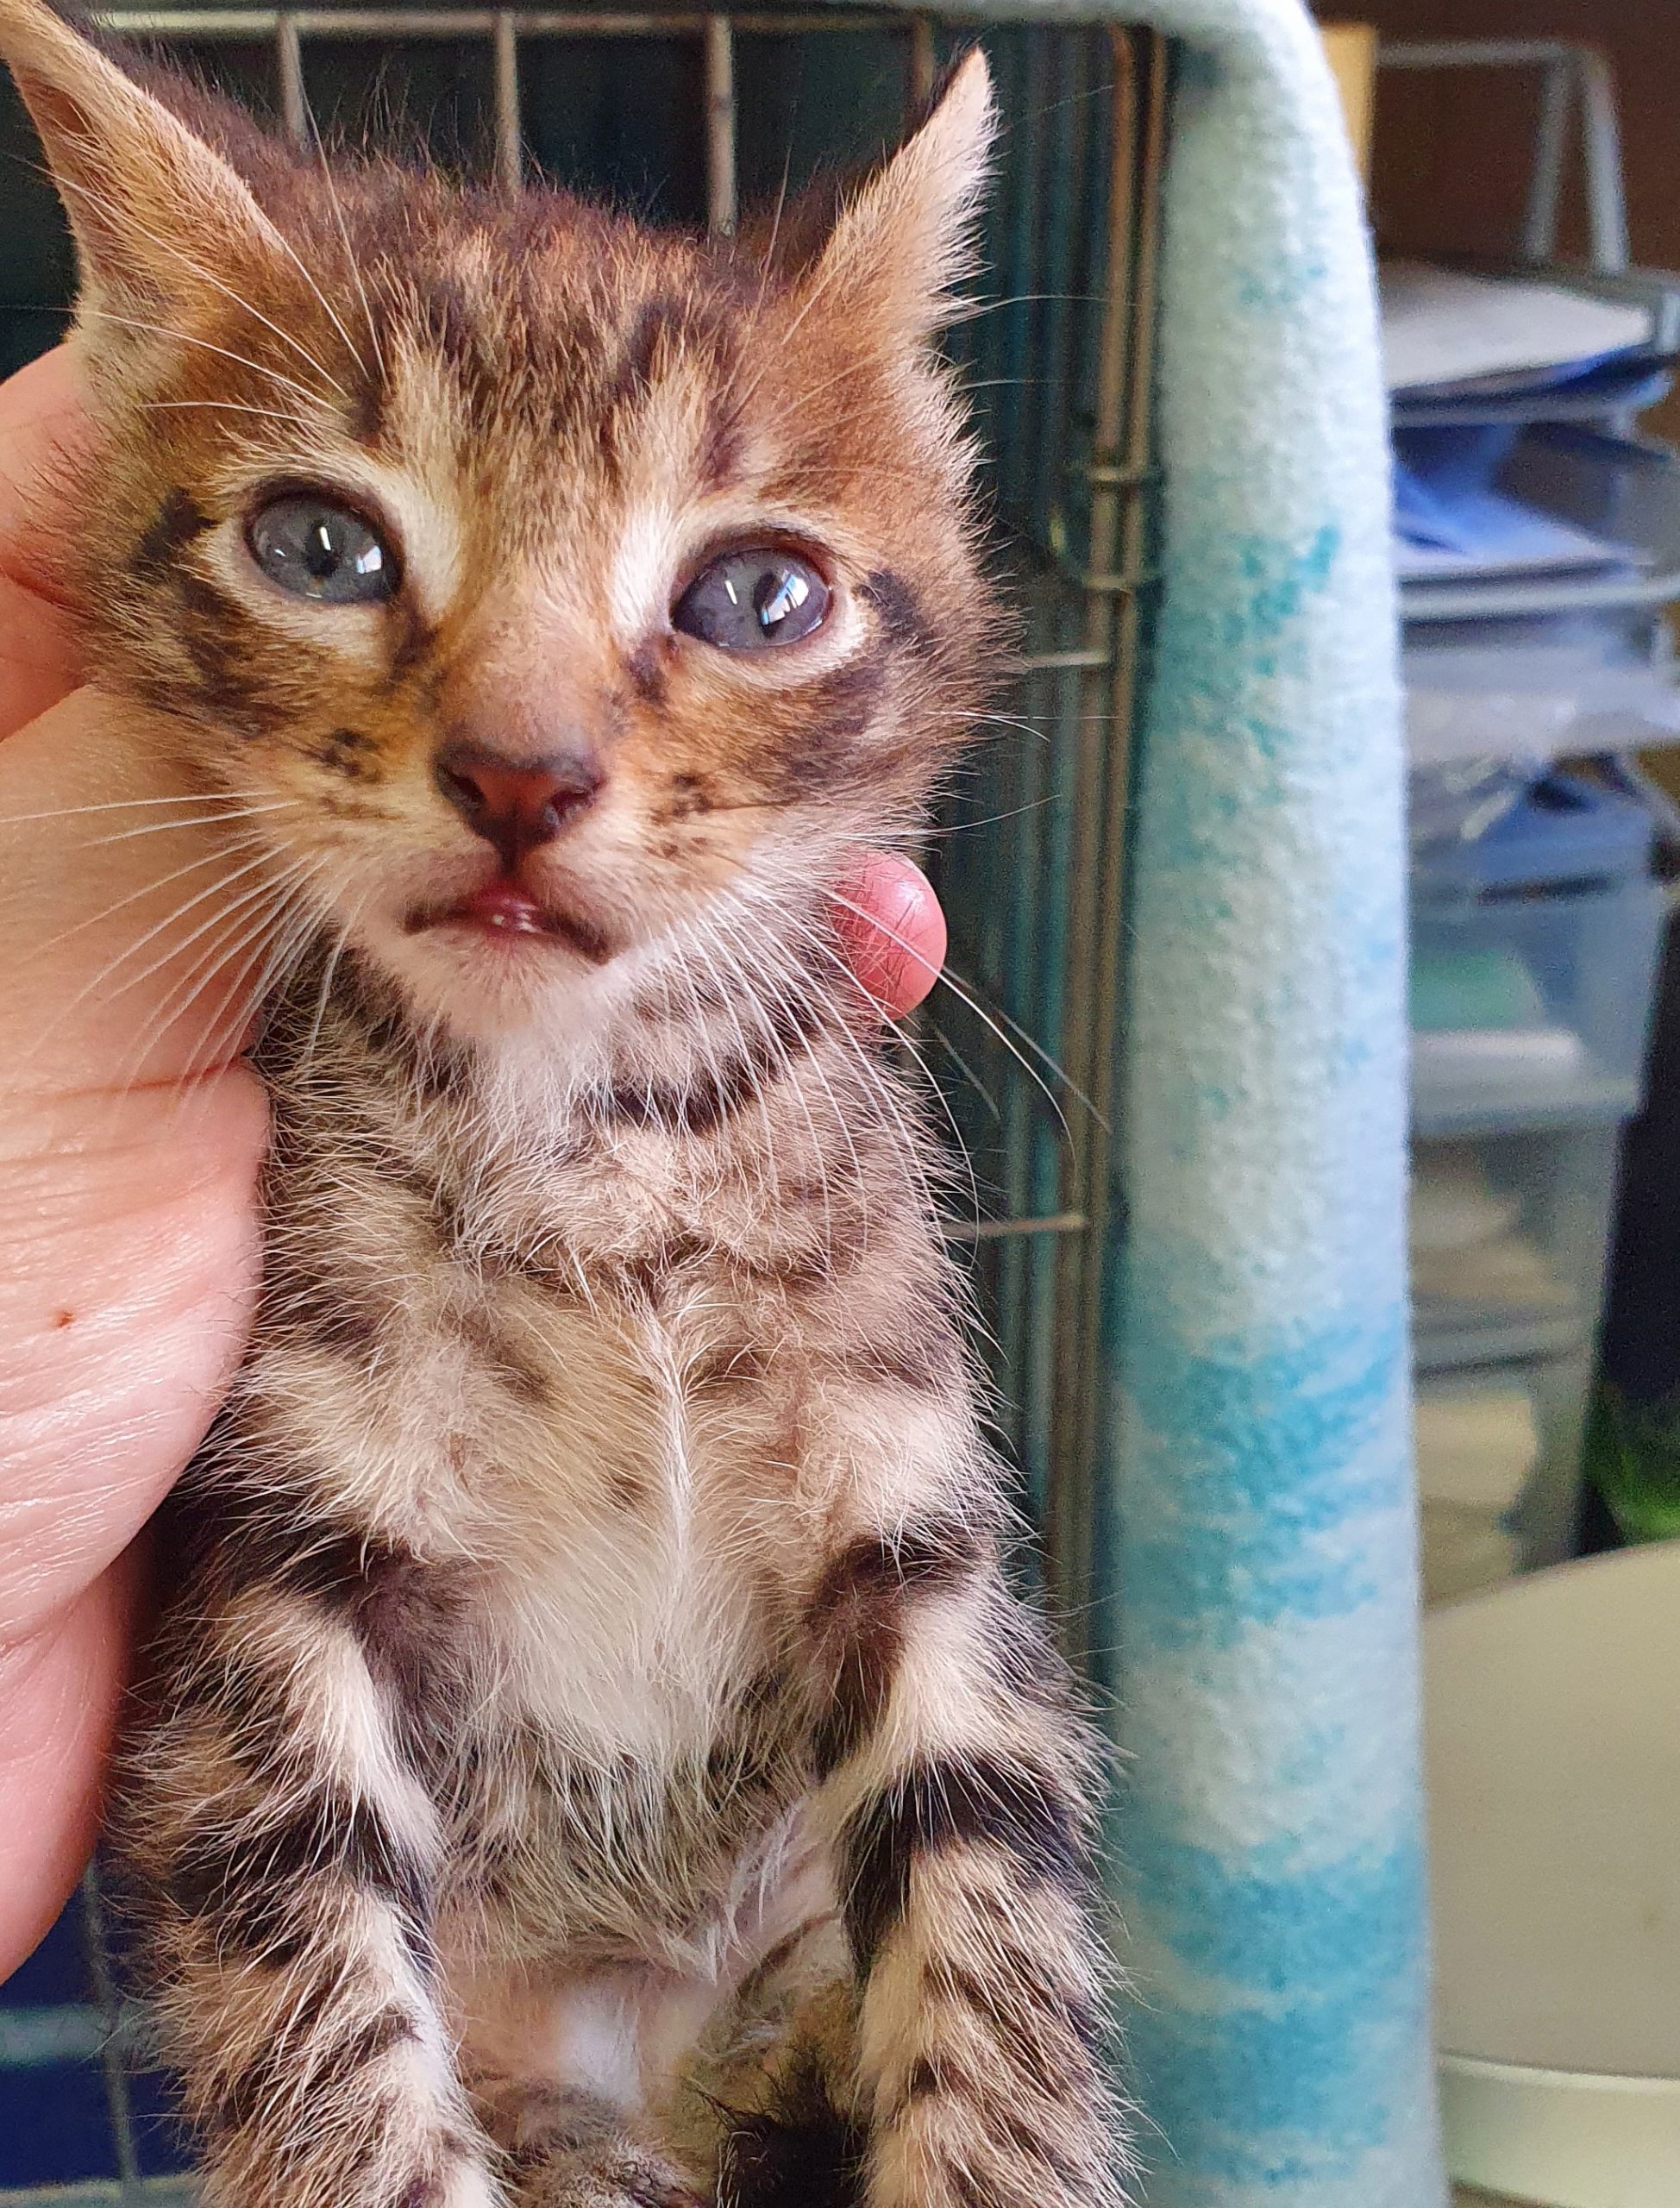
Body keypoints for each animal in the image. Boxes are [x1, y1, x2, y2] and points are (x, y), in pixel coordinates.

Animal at [0, 4, 1128, 2205]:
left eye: (757, 599)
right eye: (323, 547)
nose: (520, 772)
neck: (599, 1129)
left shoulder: (912, 1519)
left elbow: (995, 1935)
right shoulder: (277, 1558)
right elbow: (318, 1995)